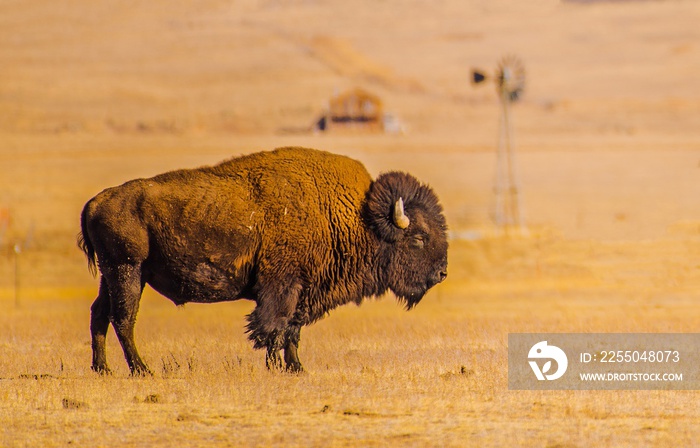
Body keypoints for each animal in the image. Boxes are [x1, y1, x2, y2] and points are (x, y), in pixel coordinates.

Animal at [76, 147, 448, 374]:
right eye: (418, 238)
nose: (441, 273)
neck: (354, 217)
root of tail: (95, 202)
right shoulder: (281, 287)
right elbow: (274, 328)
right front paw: (277, 367)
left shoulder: (304, 292)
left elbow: (293, 331)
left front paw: (296, 368)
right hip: (128, 270)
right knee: (123, 319)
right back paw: (143, 370)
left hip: (112, 275)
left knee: (100, 314)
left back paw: (103, 369)